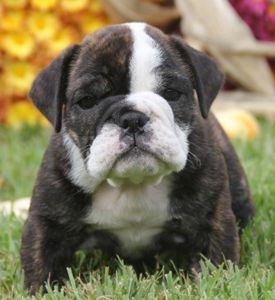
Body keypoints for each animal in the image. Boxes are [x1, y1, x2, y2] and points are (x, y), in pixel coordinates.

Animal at [20, 22, 256, 292]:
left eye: (172, 93)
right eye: (87, 101)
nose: (132, 118)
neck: (133, 184)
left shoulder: (211, 222)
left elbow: (215, 264)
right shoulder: (48, 224)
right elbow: (42, 266)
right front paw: (42, 290)